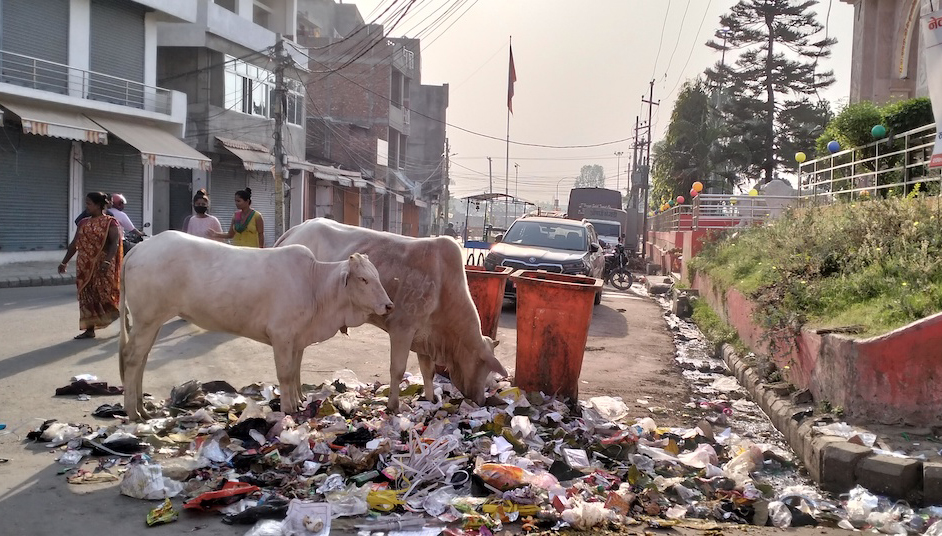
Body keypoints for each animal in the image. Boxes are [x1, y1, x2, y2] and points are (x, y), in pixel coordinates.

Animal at [119, 229, 394, 418]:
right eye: (363, 279)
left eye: (377, 276)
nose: (389, 305)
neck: (315, 285)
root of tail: (138, 249)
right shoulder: (282, 336)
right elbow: (285, 374)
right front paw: (288, 408)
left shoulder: (297, 339)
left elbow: (295, 371)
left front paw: (298, 401)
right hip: (146, 321)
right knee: (132, 359)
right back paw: (133, 412)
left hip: (150, 324)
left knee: (141, 360)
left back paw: (142, 409)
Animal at [272, 218, 508, 410]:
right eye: (484, 367)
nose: (481, 401)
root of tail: (297, 229)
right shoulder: (402, 329)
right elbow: (398, 370)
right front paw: (394, 405)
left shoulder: (424, 337)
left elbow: (428, 372)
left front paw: (430, 399)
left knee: (298, 353)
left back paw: (300, 395)